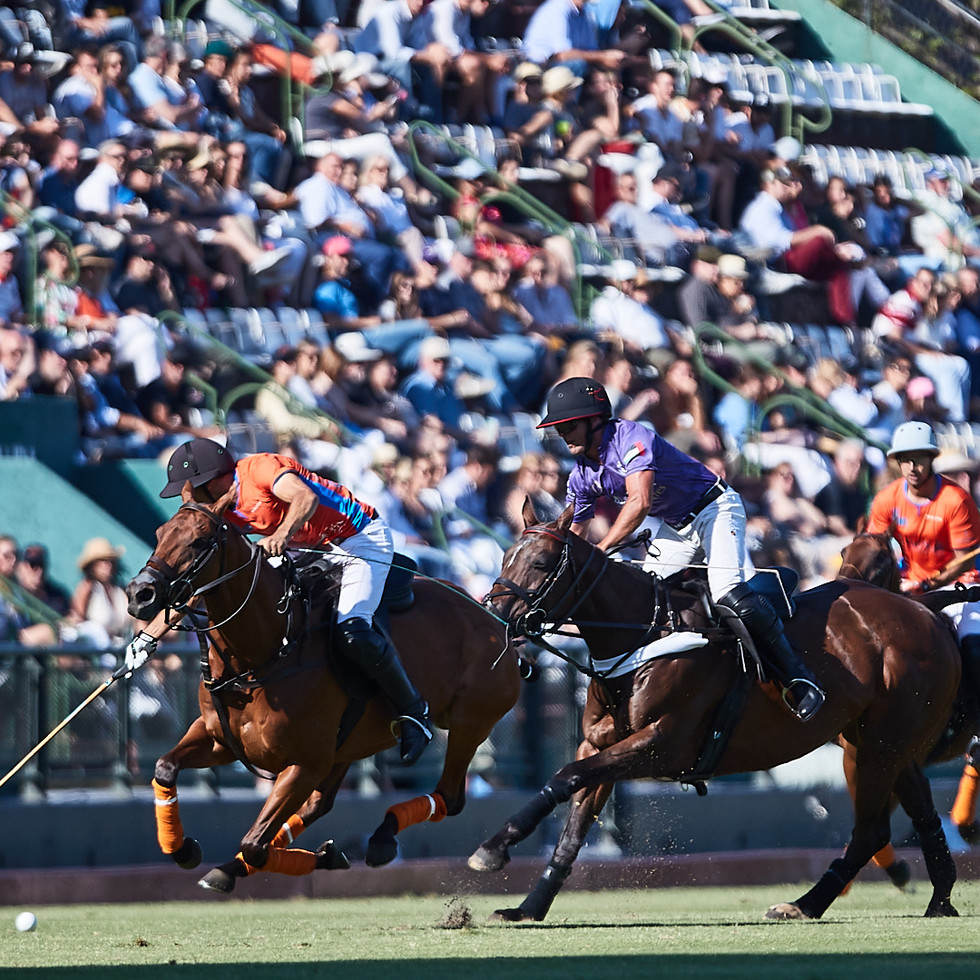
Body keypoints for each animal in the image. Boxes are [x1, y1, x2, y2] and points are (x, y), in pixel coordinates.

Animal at [124, 485, 521, 892]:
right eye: (159, 534)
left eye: (199, 540)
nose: (140, 594)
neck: (266, 651)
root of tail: (500, 621)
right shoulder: (221, 741)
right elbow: (165, 767)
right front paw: (184, 849)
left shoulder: (305, 763)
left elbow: (255, 844)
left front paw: (328, 856)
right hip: (349, 746)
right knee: (321, 804)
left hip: (470, 722)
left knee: (449, 796)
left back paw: (384, 834)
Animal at [467, 499, 962, 922]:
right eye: (507, 555)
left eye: (540, 563)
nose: (492, 612)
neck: (640, 633)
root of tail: (926, 612)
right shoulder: (598, 742)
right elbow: (571, 823)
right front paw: (526, 905)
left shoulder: (663, 743)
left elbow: (564, 776)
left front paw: (492, 849)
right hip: (885, 741)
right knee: (914, 817)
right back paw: (936, 900)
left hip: (882, 743)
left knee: (871, 830)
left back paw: (808, 903)